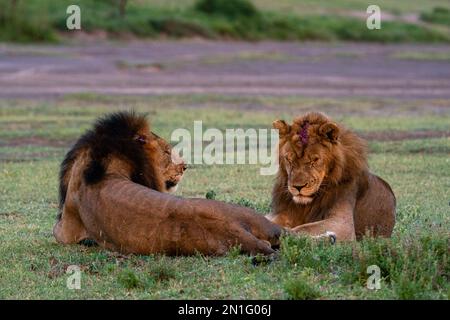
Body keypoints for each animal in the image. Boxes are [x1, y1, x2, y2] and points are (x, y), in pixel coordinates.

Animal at [268, 112, 396, 240]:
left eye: (315, 160)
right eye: (289, 159)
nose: (298, 187)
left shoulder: (343, 224)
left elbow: (303, 228)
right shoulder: (285, 213)